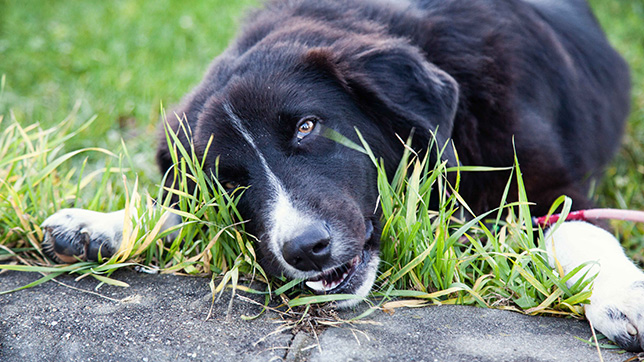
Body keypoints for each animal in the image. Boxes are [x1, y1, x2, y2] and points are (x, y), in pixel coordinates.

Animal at [42, 0, 640, 350]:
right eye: (230, 180)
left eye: (307, 126)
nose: (306, 250)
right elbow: (185, 209)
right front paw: (101, 224)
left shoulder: (547, 184)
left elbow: (579, 233)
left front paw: (623, 294)